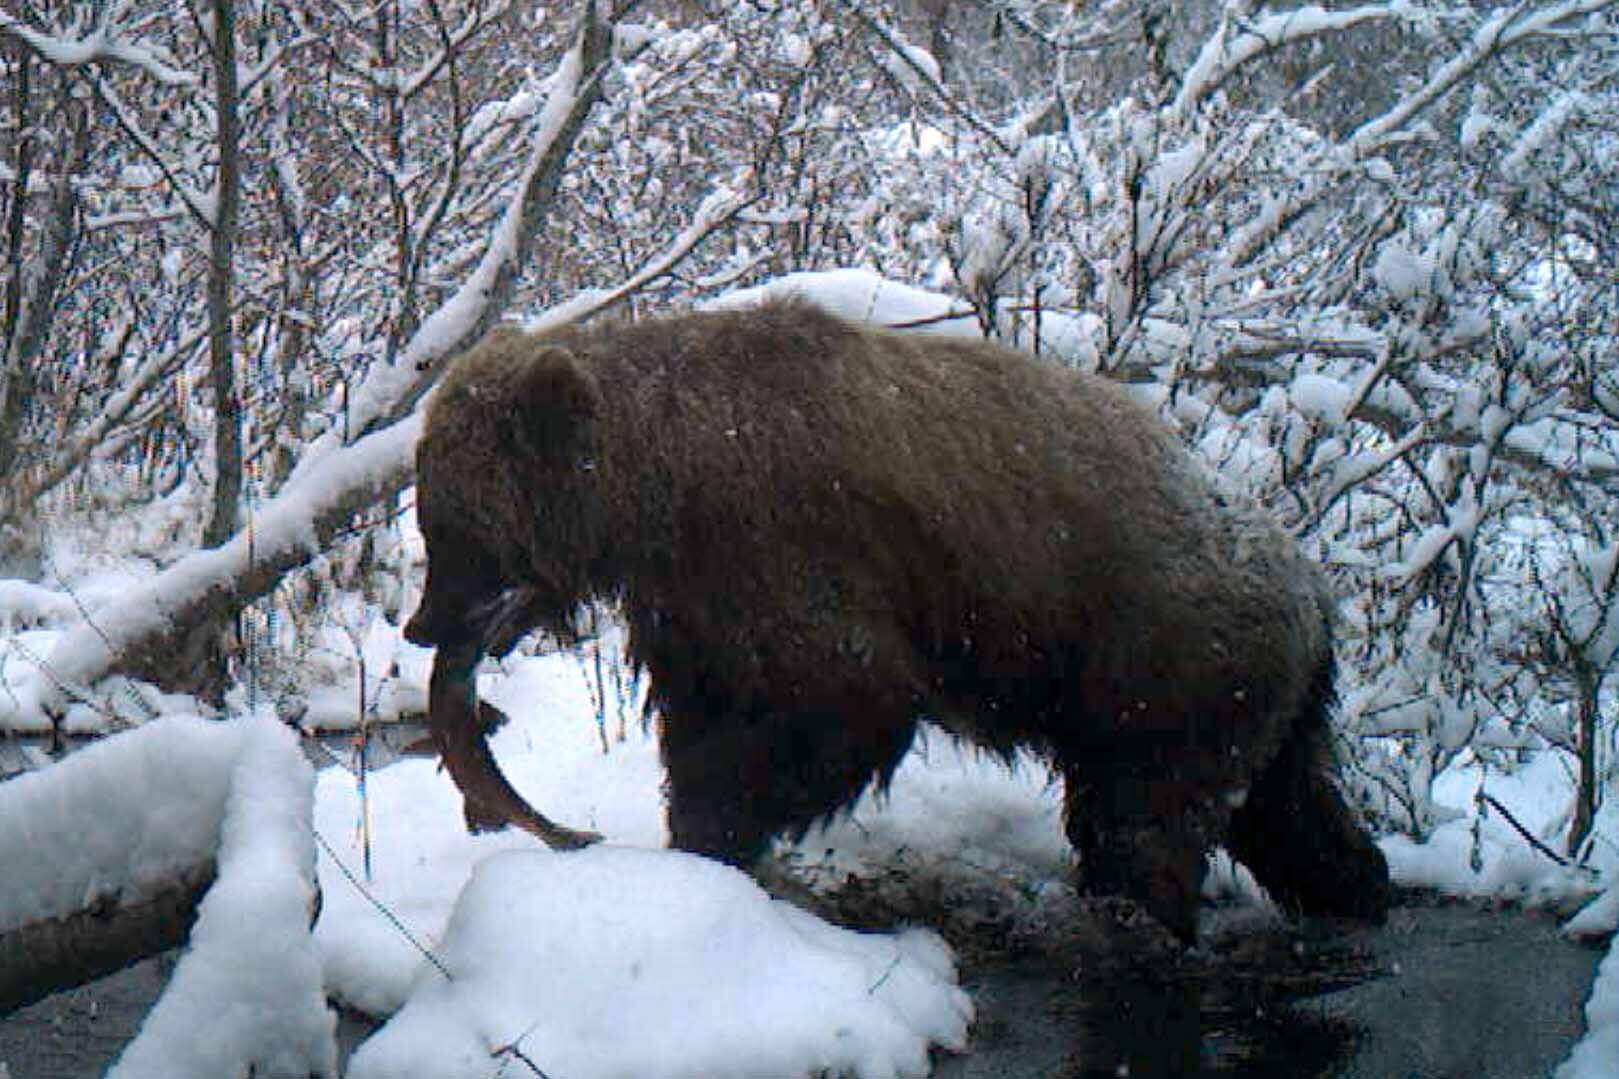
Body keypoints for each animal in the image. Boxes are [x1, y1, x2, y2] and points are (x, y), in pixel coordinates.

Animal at [404, 296, 1392, 939]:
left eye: (451, 522)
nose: (421, 627)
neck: (661, 491)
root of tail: (1316, 589)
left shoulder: (793, 550)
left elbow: (837, 701)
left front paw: (720, 834)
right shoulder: (701, 605)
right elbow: (707, 716)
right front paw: (694, 839)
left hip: (1166, 660)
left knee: (1141, 820)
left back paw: (1146, 918)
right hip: (1257, 695)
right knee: (1289, 809)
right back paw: (1358, 889)